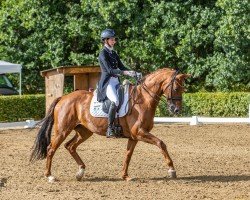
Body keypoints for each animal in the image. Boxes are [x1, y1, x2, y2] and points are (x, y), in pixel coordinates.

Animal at [29, 68, 189, 182]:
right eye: (176, 88)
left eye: (182, 89)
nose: (176, 110)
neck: (143, 100)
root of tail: (63, 98)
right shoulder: (139, 132)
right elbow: (161, 143)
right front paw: (172, 170)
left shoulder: (134, 136)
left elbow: (128, 154)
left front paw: (125, 175)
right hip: (63, 130)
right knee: (51, 149)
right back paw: (49, 176)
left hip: (84, 131)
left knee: (70, 146)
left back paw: (80, 172)